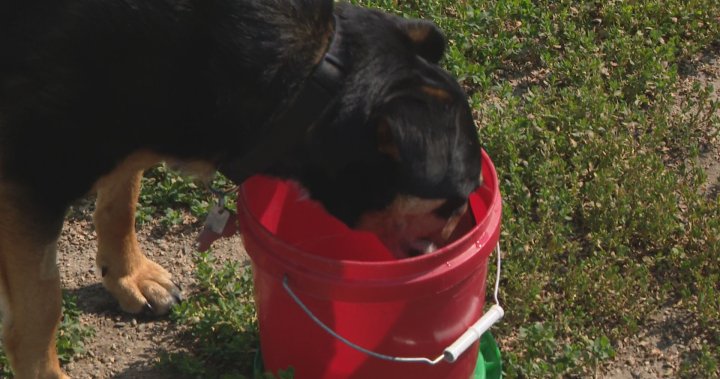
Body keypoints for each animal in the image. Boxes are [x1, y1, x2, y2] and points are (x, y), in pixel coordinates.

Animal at [1, 1, 484, 378]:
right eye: (455, 200)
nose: (469, 236)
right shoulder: (27, 178)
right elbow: (42, 309)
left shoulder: (140, 122)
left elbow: (122, 198)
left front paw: (128, 275)